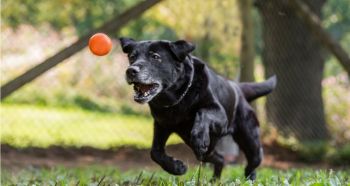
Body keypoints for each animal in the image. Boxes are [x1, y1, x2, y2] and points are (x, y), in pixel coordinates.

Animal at [120, 37, 276, 179]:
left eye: (155, 57)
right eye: (132, 57)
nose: (130, 70)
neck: (176, 99)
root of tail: (238, 88)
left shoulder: (221, 115)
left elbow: (202, 112)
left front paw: (200, 137)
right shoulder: (161, 125)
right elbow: (155, 152)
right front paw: (177, 168)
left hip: (250, 141)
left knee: (253, 161)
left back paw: (249, 177)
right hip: (206, 152)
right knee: (220, 158)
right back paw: (214, 180)